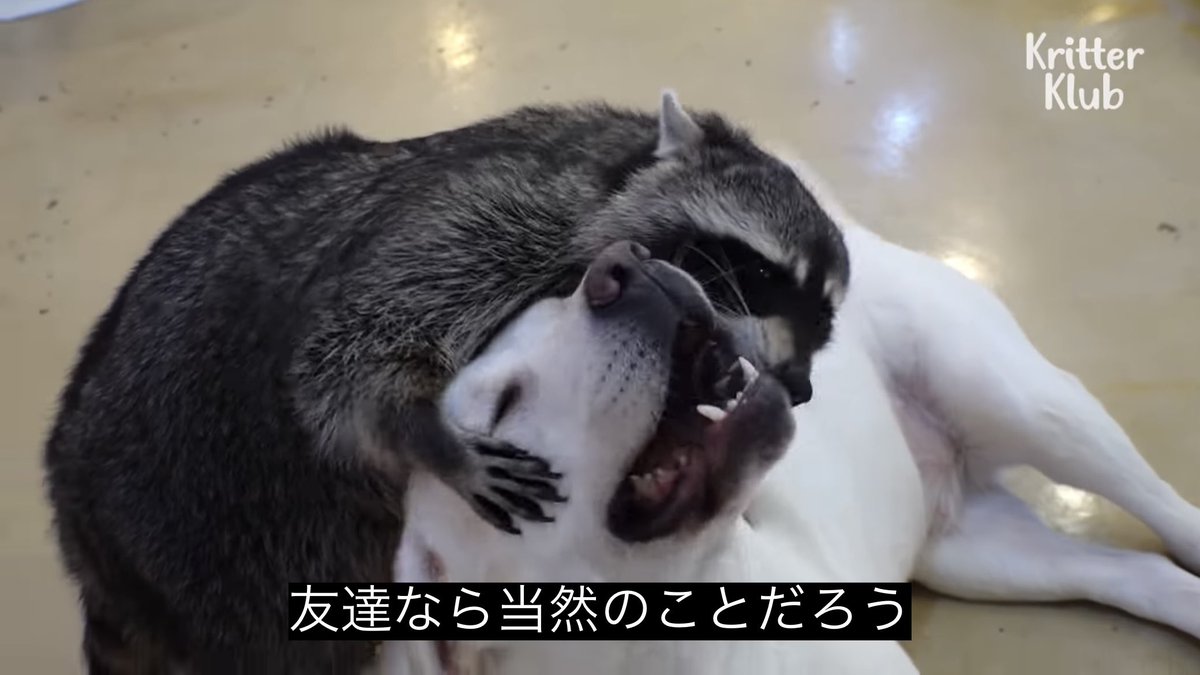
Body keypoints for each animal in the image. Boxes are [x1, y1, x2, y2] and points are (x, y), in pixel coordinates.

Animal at [43, 92, 849, 673]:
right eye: (757, 273)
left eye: (826, 314)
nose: (802, 386)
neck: (610, 166)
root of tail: (87, 541)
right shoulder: (489, 215)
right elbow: (342, 358)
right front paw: (423, 432)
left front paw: (713, 363)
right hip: (214, 559)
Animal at [382, 162, 1200, 674]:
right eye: (503, 404)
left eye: (555, 307)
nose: (623, 266)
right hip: (983, 555)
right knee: (1140, 574)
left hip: (1034, 408)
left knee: (1163, 509)